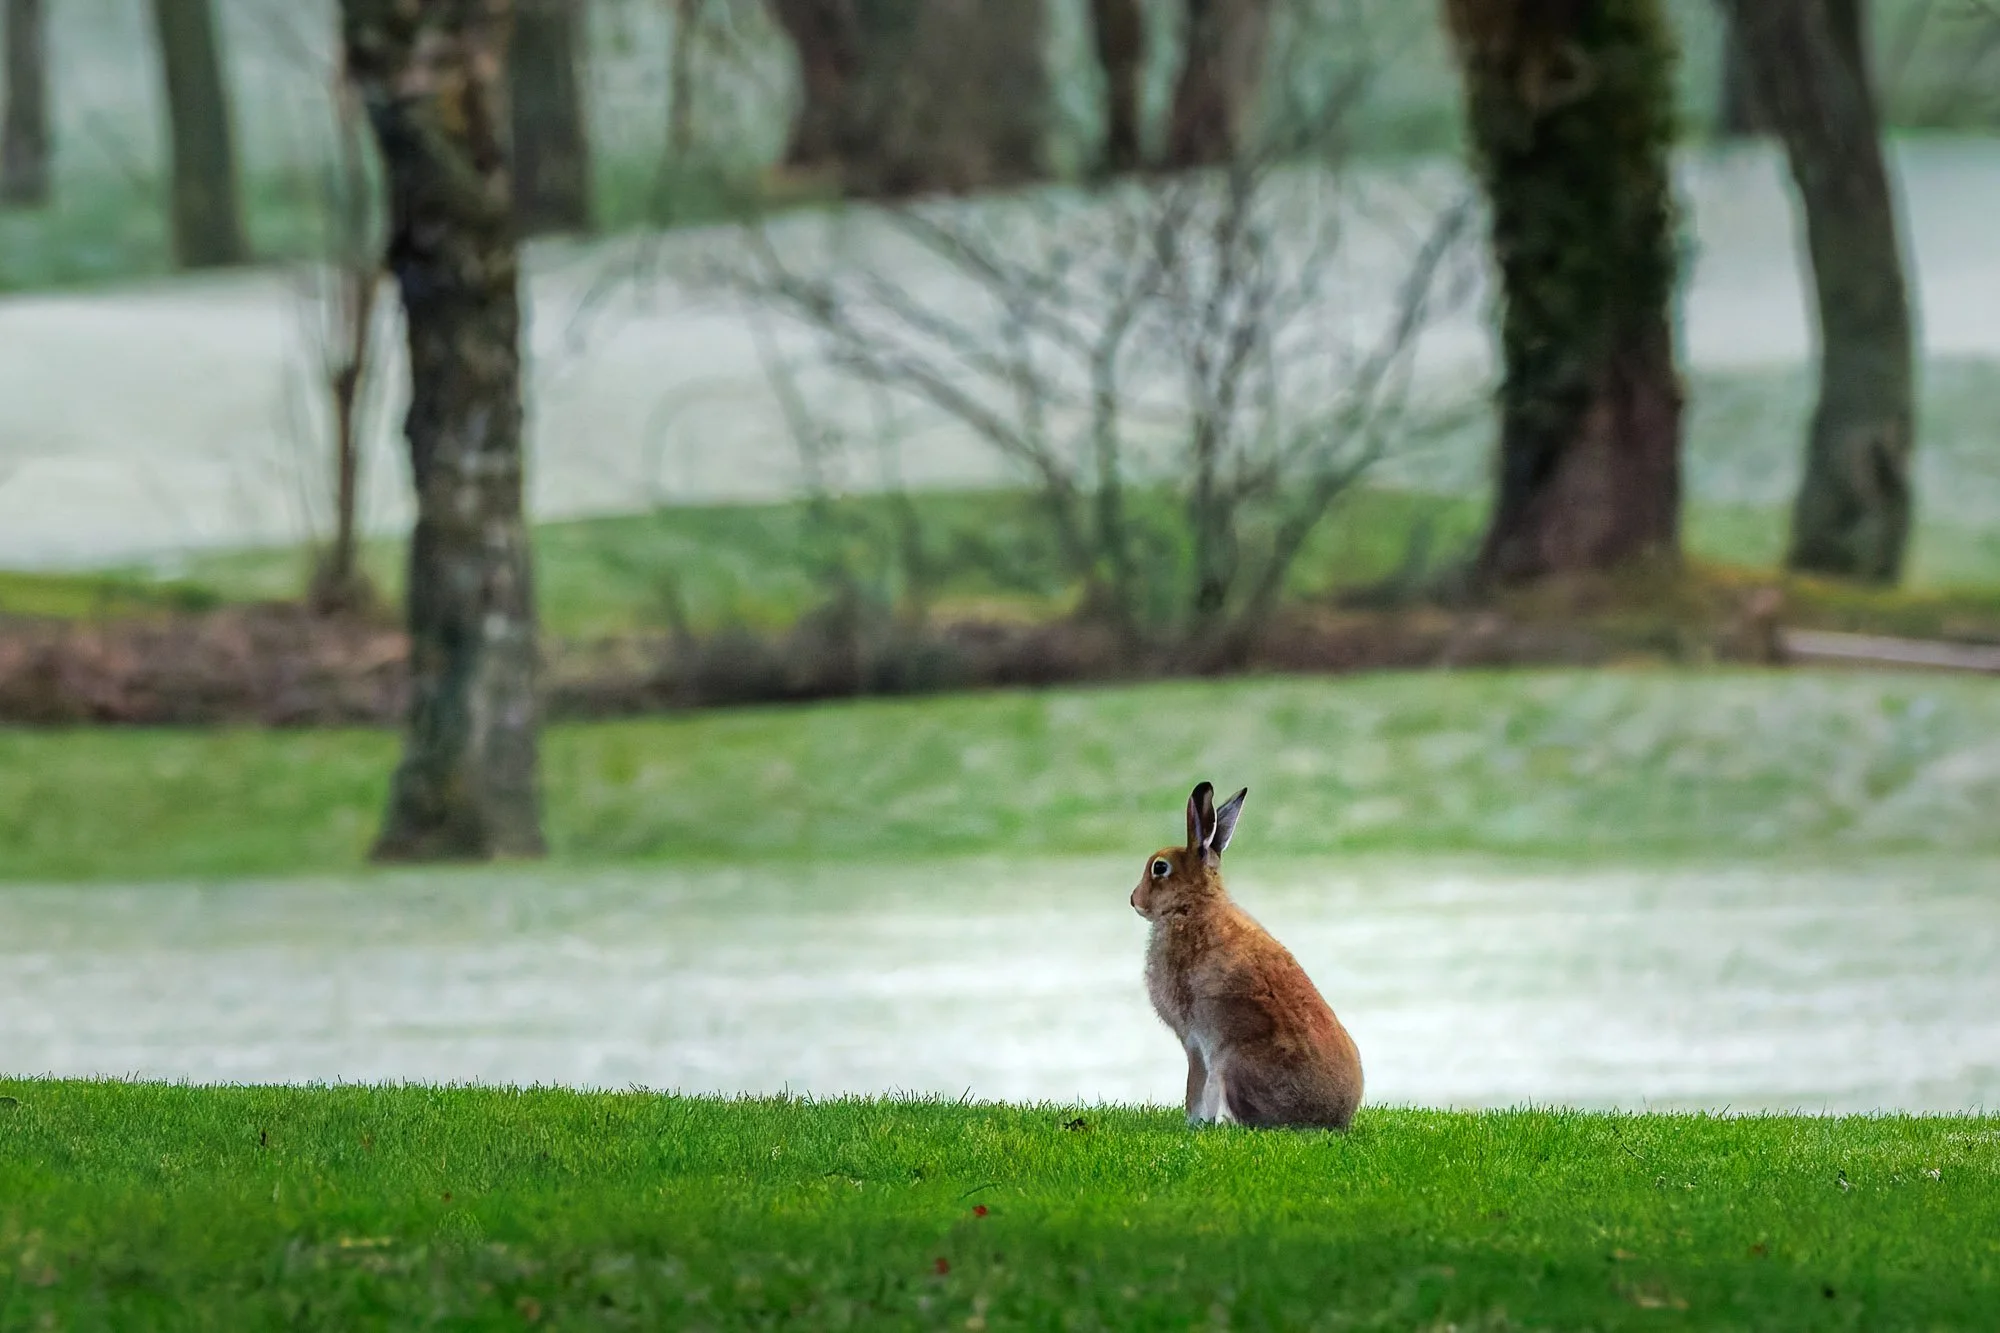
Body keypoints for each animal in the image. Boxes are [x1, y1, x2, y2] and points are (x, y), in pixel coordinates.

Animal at [1130, 781, 1363, 1130]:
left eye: (1159, 868)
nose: (1134, 900)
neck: (1192, 904)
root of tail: (1330, 1119)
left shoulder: (1196, 1043)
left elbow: (1195, 1088)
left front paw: (1192, 1123)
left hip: (1233, 1066)